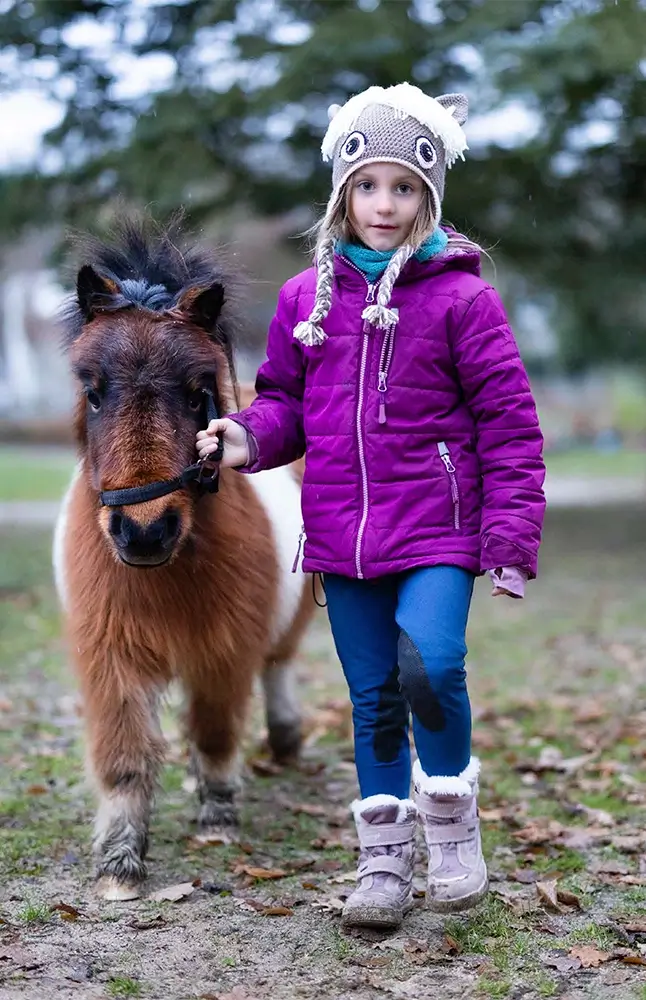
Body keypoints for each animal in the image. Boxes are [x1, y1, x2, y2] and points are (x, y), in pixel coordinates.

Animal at [53, 218, 312, 899]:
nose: (145, 533)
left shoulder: (225, 651)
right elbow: (125, 758)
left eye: (199, 396)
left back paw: (283, 738)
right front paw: (119, 864)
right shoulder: (111, 657)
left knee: (279, 664)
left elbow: (217, 730)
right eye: (93, 393)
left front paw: (218, 817)